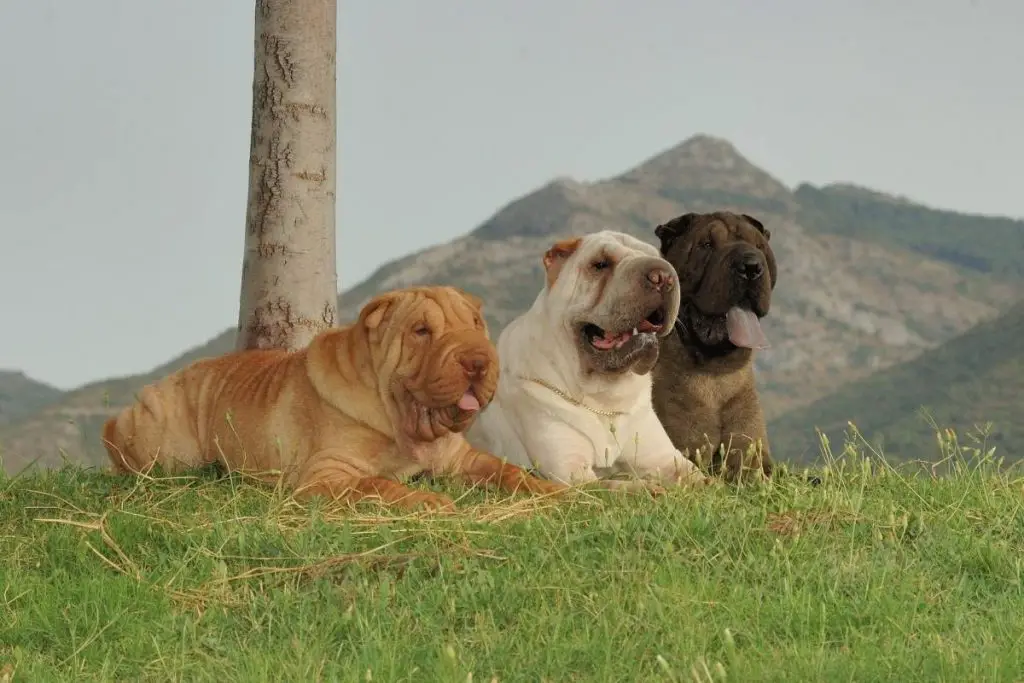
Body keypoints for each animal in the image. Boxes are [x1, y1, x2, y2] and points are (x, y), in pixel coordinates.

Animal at [102, 282, 569, 507]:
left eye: (475, 324)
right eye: (421, 331)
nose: (478, 361)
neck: (401, 421)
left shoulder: (463, 459)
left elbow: (508, 471)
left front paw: (555, 492)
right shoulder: (329, 475)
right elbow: (380, 485)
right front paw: (429, 500)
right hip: (166, 445)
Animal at [468, 231, 704, 491]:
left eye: (659, 258)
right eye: (600, 264)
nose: (662, 276)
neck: (603, 399)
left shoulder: (665, 458)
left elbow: (704, 479)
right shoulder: (571, 472)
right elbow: (615, 485)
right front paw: (648, 489)